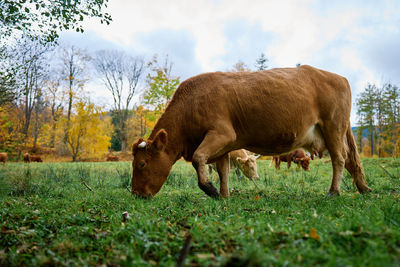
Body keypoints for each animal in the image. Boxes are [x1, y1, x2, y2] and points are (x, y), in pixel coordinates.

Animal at [130, 65, 370, 199]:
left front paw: (210, 189)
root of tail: (338, 77)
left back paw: (334, 191)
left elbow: (198, 159)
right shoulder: (223, 147)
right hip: (336, 131)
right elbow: (223, 171)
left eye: (141, 164)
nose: (136, 194)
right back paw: (363, 188)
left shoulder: (222, 134)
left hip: (333, 127)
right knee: (351, 161)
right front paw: (224, 195)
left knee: (339, 159)